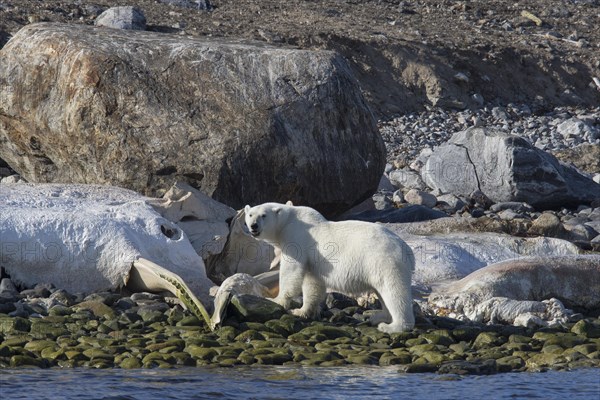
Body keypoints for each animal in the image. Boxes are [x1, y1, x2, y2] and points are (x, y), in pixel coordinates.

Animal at [243, 202, 412, 332]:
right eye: (250, 214)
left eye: (263, 215)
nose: (254, 226)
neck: (288, 221)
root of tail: (407, 250)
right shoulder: (312, 260)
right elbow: (312, 283)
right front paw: (301, 311)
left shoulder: (296, 239)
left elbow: (291, 270)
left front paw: (277, 300)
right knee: (383, 292)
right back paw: (378, 317)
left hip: (385, 261)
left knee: (394, 291)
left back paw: (392, 326)